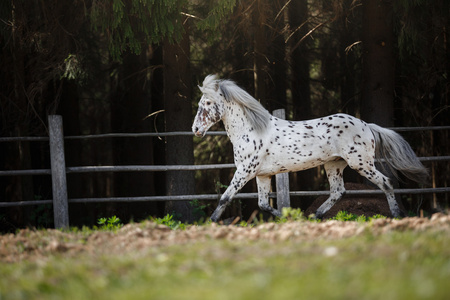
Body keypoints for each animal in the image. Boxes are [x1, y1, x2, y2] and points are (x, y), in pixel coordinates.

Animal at [192, 74, 428, 221]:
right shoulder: (262, 175)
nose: (195, 129)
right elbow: (263, 204)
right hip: (334, 165)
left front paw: (211, 221)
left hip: (361, 163)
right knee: (338, 192)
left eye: (208, 104)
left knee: (386, 183)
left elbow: (226, 197)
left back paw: (397, 216)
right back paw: (315, 216)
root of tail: (367, 125)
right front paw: (290, 218)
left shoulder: (245, 171)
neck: (251, 130)